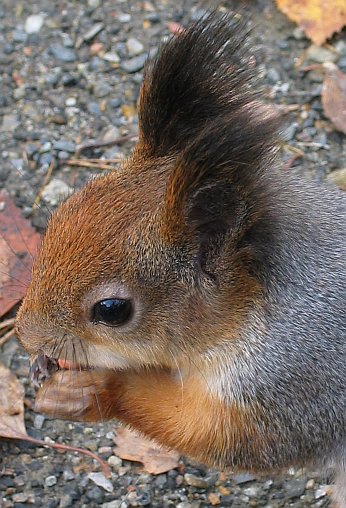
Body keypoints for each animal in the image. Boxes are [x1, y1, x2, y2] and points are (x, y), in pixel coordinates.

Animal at [14, 13, 346, 506]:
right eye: (57, 219)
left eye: (112, 310)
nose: (26, 336)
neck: (254, 303)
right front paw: (46, 367)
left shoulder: (293, 381)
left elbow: (226, 438)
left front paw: (94, 389)